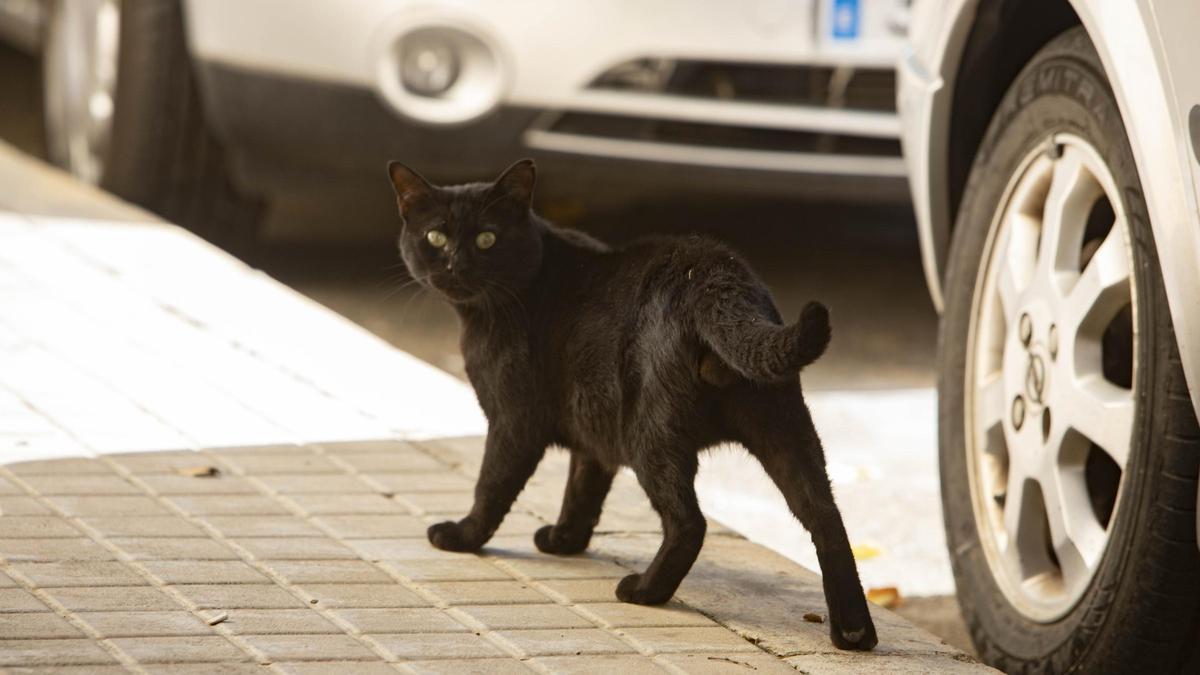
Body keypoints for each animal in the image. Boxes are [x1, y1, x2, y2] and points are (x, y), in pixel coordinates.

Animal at [388, 158, 878, 653]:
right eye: (436, 237)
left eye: (487, 238)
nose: (456, 265)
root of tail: (717, 277)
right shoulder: (594, 425)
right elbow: (582, 488)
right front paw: (564, 540)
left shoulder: (512, 422)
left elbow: (491, 486)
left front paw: (463, 536)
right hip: (783, 426)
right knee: (826, 517)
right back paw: (854, 632)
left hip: (652, 436)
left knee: (689, 522)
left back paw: (644, 591)